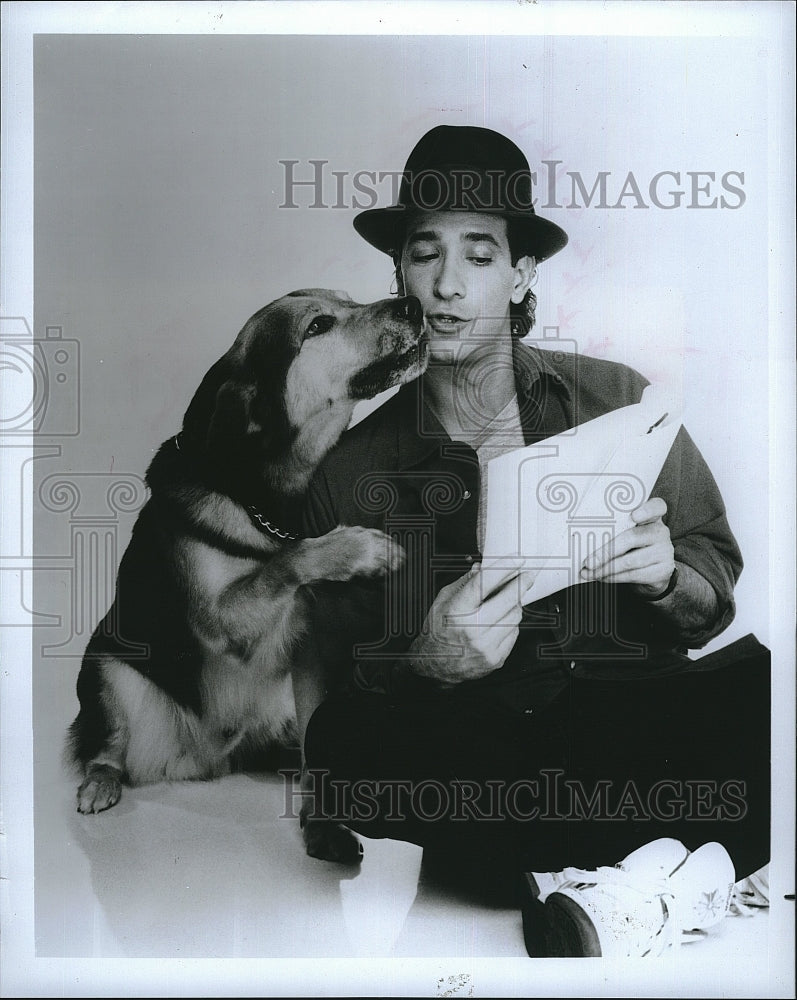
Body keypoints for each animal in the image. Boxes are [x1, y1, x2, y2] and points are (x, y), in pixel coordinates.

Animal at [68, 288, 430, 860]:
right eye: (318, 326)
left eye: (349, 301)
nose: (414, 304)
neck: (268, 499)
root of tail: (209, 759)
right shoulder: (218, 619)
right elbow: (285, 562)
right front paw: (355, 547)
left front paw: (322, 822)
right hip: (107, 663)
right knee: (107, 746)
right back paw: (101, 782)